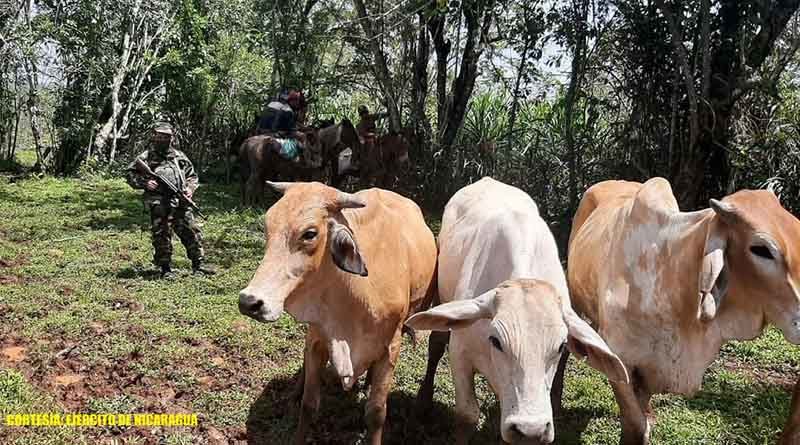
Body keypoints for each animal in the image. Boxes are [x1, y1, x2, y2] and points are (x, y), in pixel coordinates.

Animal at [238, 180, 438, 444]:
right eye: (267, 226)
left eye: (310, 233)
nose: (249, 302)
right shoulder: (317, 339)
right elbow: (309, 405)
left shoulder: (391, 348)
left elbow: (376, 414)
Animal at [410, 178, 628, 444]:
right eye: (496, 340)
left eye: (561, 346)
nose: (531, 429)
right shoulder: (460, 353)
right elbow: (467, 415)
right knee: (436, 344)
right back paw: (423, 402)